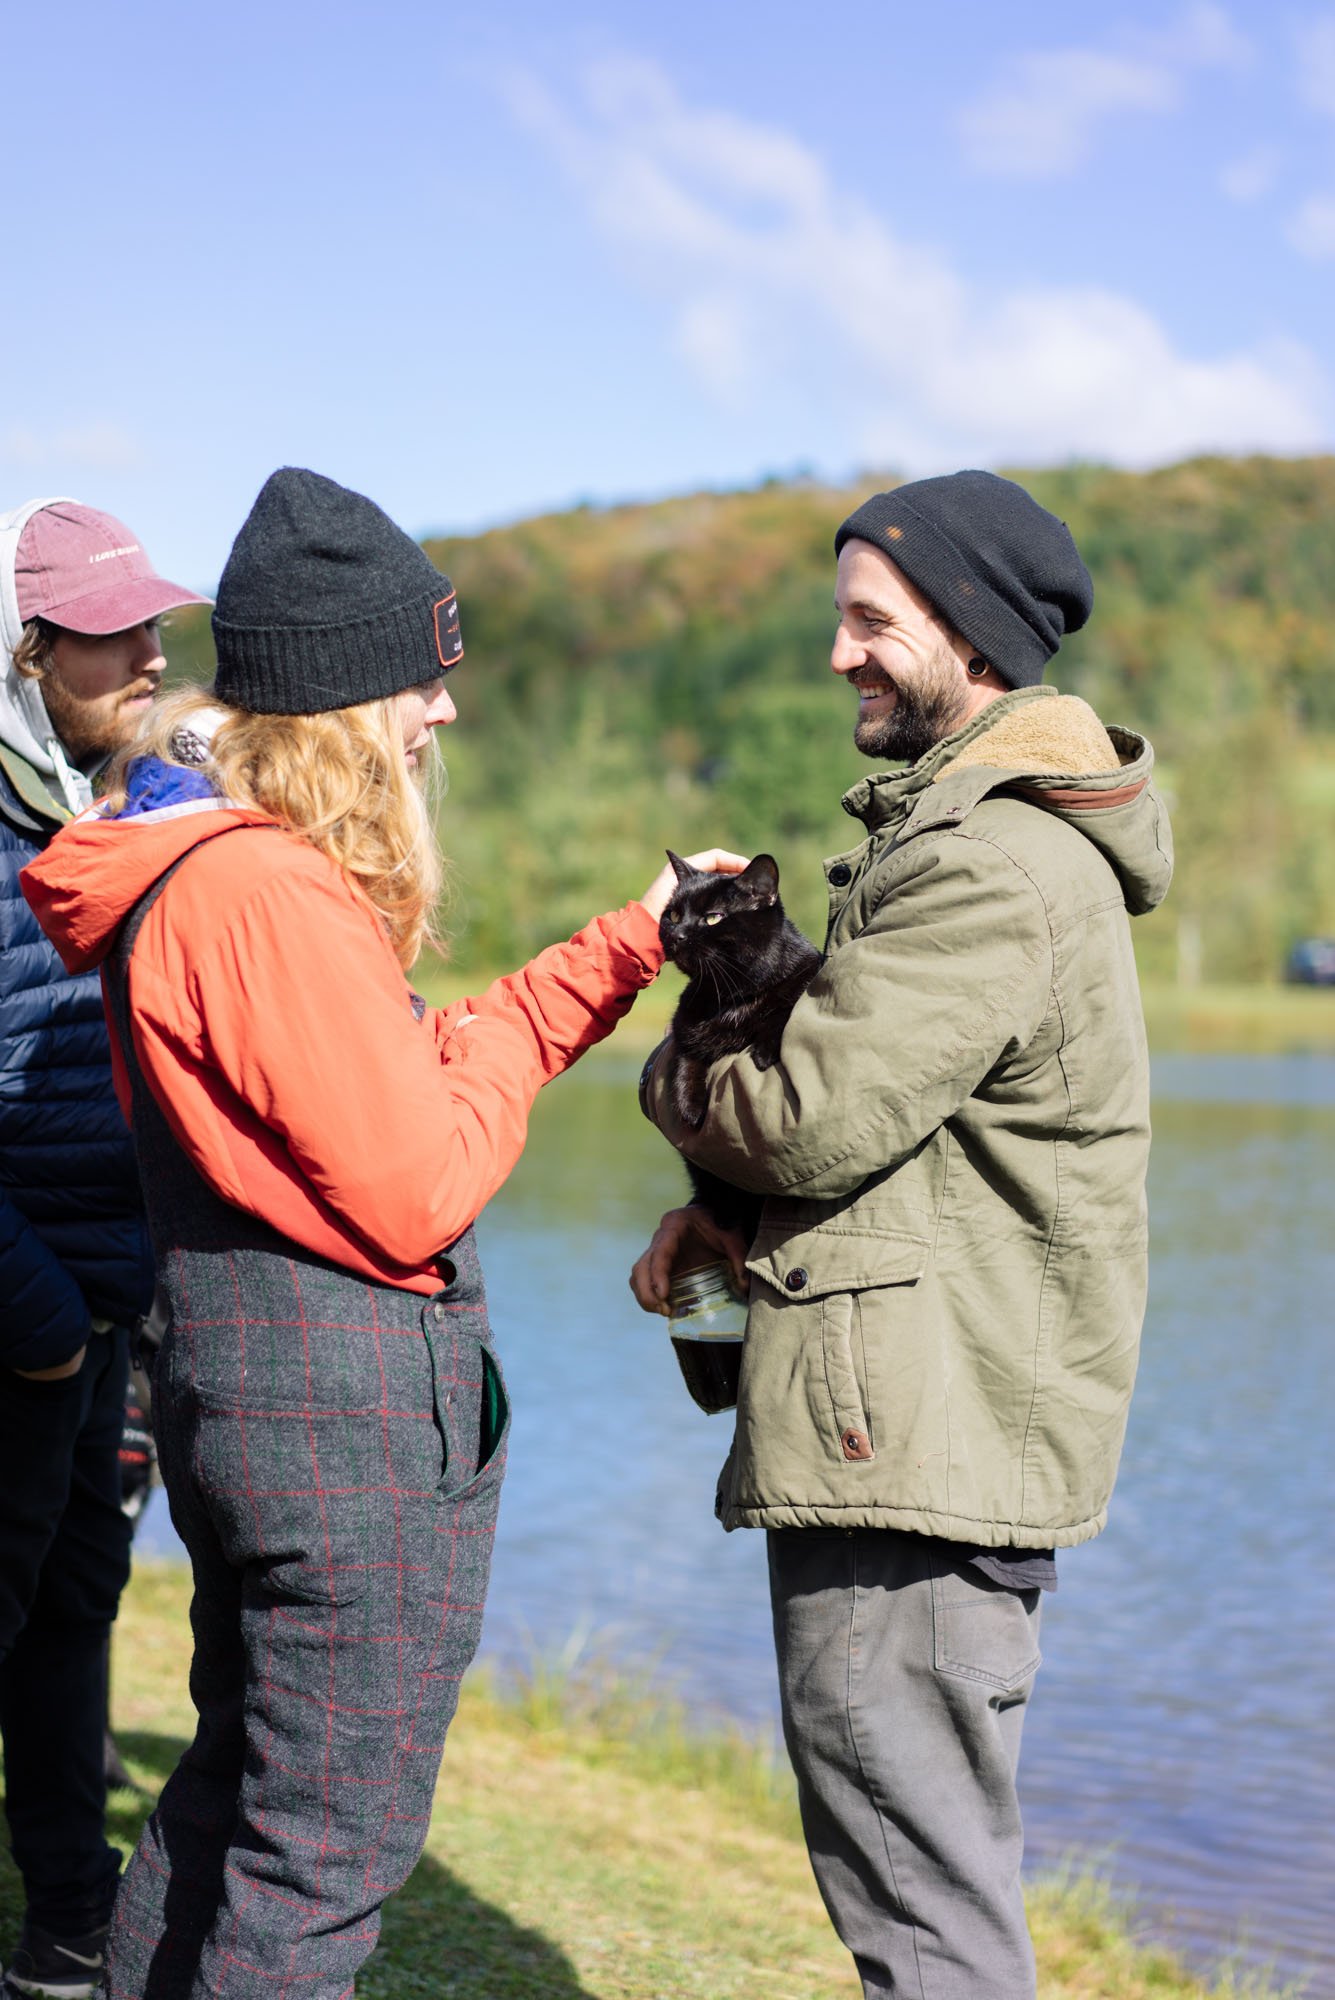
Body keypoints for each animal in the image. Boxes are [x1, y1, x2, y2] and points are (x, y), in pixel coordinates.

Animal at [659, 848, 823, 1232]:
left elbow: (784, 1007)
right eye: (673, 915)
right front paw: (690, 1109)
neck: (729, 997)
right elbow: (686, 1061)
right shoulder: (685, 1025)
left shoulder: (806, 976)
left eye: (713, 918)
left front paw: (764, 1051)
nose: (677, 935)